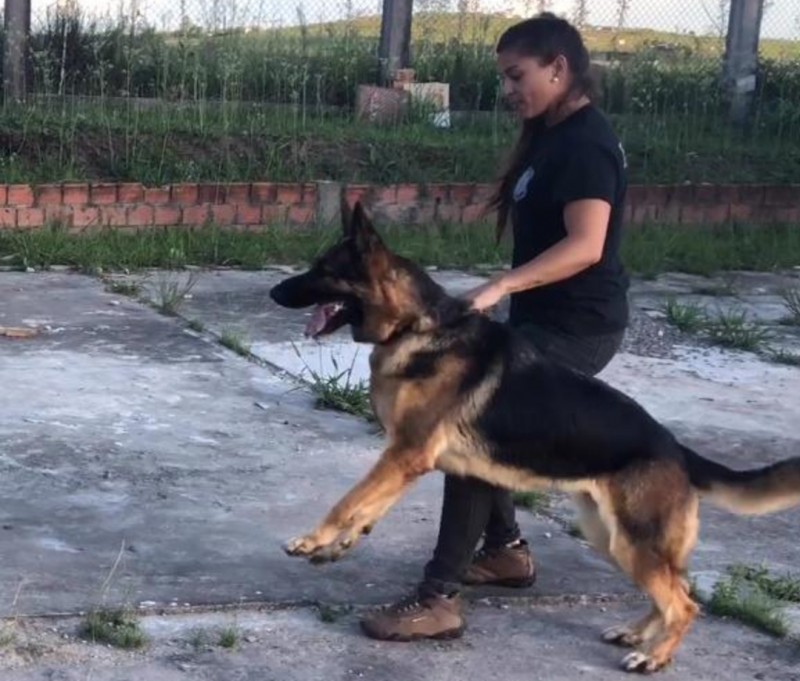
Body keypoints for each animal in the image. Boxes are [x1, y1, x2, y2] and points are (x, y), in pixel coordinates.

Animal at [270, 199, 800, 672]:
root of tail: (677, 450)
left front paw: (312, 540)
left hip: (633, 542)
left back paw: (654, 656)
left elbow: (348, 500)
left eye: (323, 270)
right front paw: (339, 545)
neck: (412, 326)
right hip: (610, 538)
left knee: (685, 604)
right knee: (675, 591)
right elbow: (367, 506)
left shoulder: (406, 453)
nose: (274, 292)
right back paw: (638, 633)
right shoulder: (405, 458)